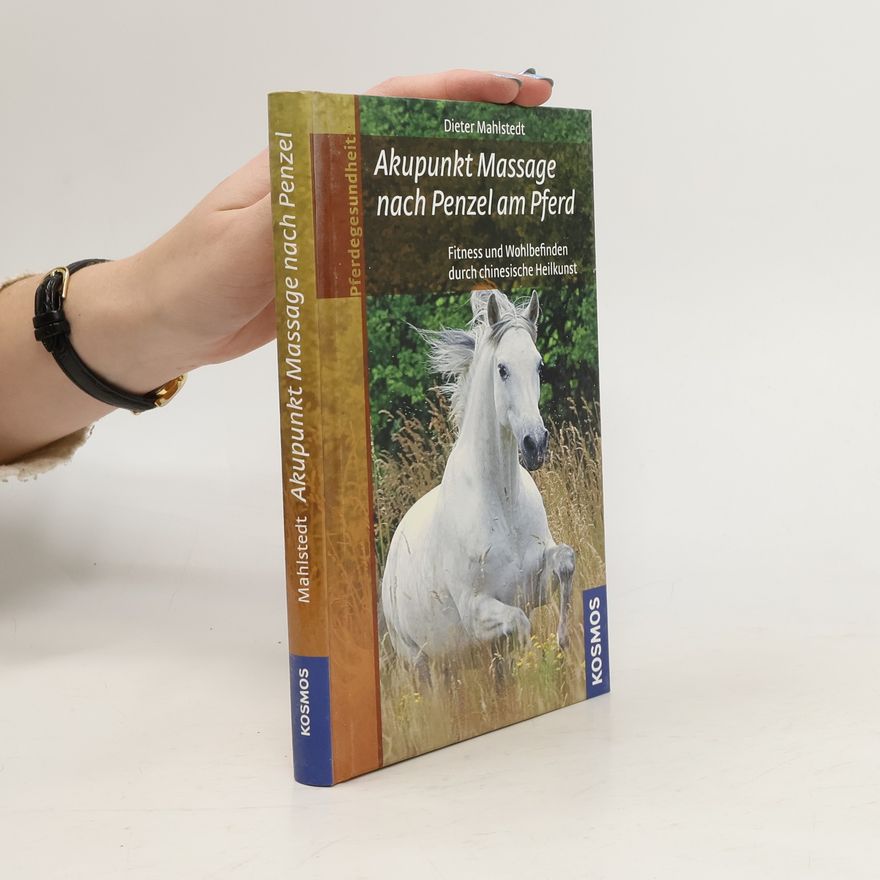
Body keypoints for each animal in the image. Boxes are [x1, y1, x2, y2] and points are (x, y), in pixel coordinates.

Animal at [380, 287, 576, 670]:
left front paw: (562, 642)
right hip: (420, 664)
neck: (502, 501)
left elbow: (566, 562)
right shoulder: (477, 613)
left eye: (539, 365)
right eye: (502, 369)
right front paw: (535, 663)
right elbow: (521, 622)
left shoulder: (536, 585)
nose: (535, 444)